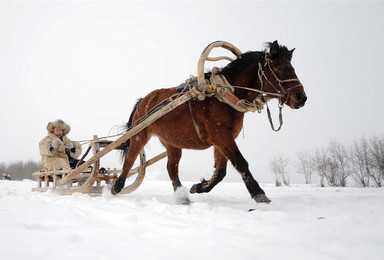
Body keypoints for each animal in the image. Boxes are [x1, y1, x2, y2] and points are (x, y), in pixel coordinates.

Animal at [111, 40, 306, 203]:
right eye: (280, 68)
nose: (301, 98)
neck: (223, 95)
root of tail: (143, 100)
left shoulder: (224, 138)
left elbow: (221, 171)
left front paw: (199, 187)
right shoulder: (220, 136)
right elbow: (240, 162)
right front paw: (258, 193)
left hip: (172, 142)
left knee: (171, 168)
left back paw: (182, 197)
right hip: (139, 134)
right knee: (130, 159)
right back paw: (116, 186)